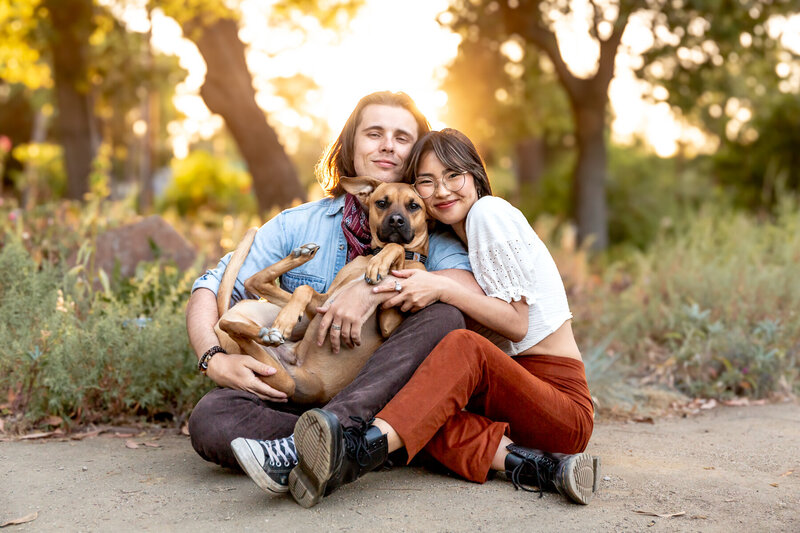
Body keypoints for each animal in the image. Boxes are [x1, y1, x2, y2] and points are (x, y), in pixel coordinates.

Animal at [209, 176, 428, 404]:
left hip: (285, 381)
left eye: (414, 206)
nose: (396, 220)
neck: (375, 252)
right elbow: (304, 288)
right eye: (382, 203)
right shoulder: (323, 303)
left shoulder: (388, 323)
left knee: (235, 318)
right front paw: (286, 319)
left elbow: (397, 248)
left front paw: (381, 264)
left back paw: (266, 332)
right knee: (251, 284)